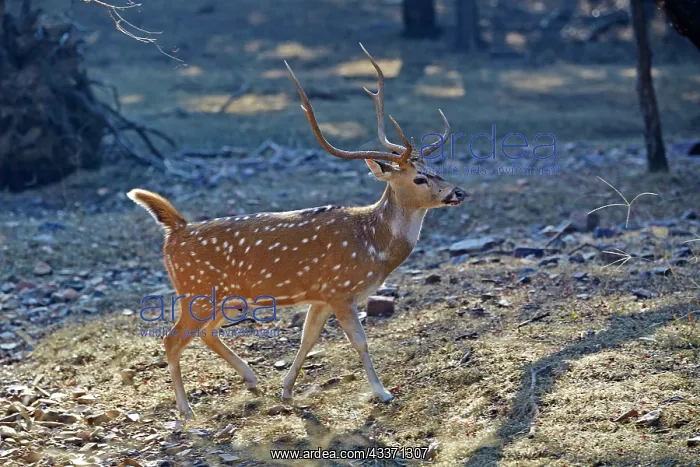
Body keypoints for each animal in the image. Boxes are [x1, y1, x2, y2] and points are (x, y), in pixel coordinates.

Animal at [127, 44, 467, 419]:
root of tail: (176, 230)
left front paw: (287, 390)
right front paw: (383, 392)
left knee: (206, 334)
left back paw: (251, 380)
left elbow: (308, 338)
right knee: (172, 339)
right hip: (196, 290)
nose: (457, 192)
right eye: (419, 178)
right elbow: (359, 340)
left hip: (224, 296)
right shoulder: (340, 289)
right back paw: (186, 411)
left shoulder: (321, 294)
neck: (373, 245)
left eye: (434, 168)